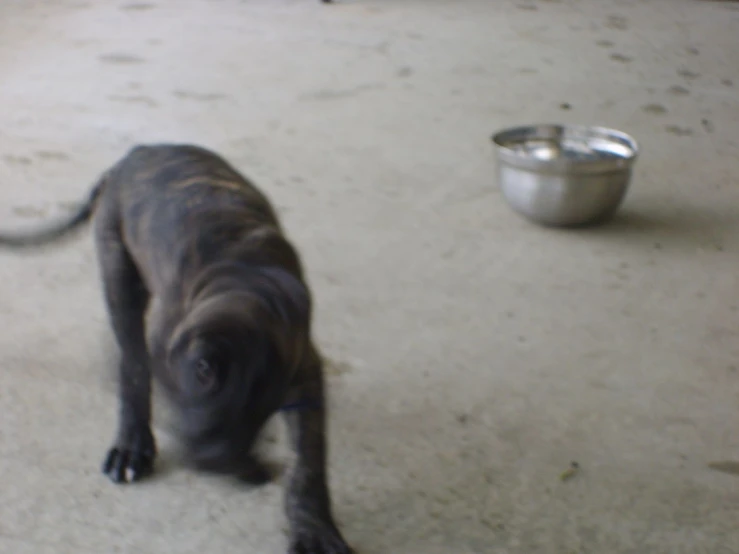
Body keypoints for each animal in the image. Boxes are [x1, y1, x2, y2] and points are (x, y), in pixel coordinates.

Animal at [0, 143, 356, 552]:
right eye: (202, 370)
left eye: (269, 400)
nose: (218, 460)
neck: (249, 277)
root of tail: (138, 151)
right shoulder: (164, 349)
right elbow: (141, 372)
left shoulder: (306, 373)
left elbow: (309, 460)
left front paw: (313, 525)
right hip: (117, 268)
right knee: (130, 357)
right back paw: (132, 439)